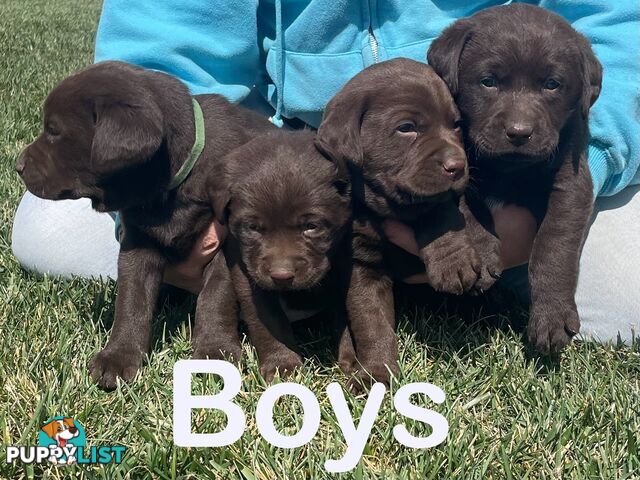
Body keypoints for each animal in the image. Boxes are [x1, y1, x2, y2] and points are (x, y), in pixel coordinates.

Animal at [17, 61, 272, 390]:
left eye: (54, 131)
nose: (17, 166)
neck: (170, 184)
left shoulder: (229, 242)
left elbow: (217, 296)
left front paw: (214, 351)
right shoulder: (137, 241)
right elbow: (132, 300)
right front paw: (118, 357)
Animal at [210, 129, 352, 380]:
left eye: (311, 226)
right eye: (252, 228)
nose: (282, 275)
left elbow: (344, 315)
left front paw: (352, 362)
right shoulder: (247, 274)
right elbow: (268, 318)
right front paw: (282, 365)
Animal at [316, 57, 500, 386]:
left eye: (456, 125)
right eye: (406, 128)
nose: (457, 166)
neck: (390, 208)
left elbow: (439, 207)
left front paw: (453, 262)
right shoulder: (363, 265)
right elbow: (371, 324)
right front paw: (374, 373)